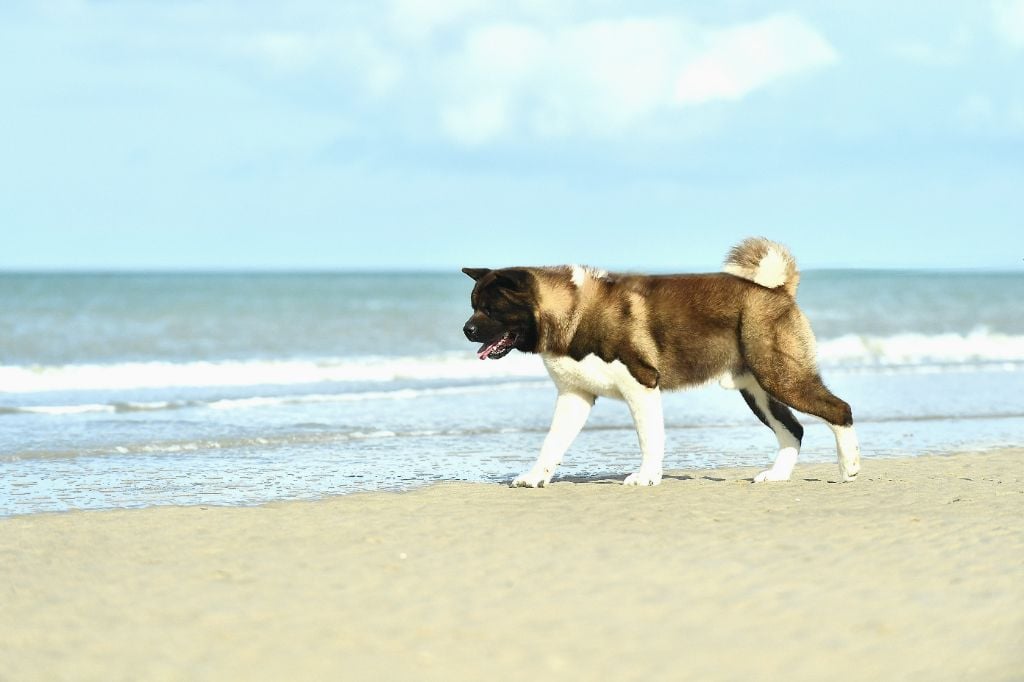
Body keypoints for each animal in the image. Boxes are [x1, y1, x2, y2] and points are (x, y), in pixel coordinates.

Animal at [462, 237, 861, 487]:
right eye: (473, 305)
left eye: (491, 309)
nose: (466, 330)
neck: (573, 313)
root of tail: (775, 290)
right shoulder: (574, 397)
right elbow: (552, 443)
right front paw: (535, 477)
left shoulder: (641, 385)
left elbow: (649, 439)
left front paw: (646, 477)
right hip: (758, 390)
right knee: (794, 429)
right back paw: (777, 475)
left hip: (780, 377)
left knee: (839, 409)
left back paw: (850, 467)